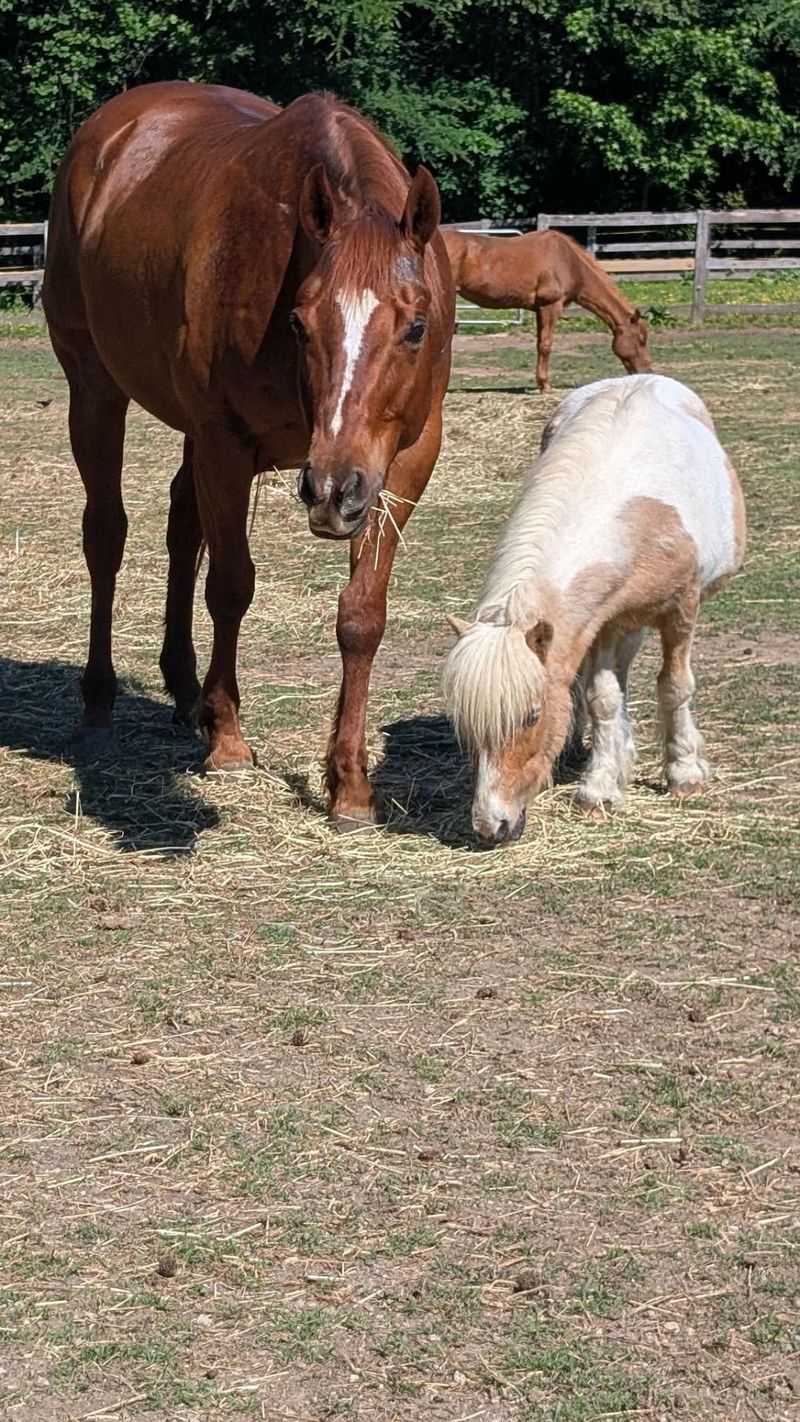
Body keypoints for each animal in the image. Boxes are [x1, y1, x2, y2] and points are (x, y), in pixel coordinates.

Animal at [42, 81, 455, 829]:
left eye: (415, 327)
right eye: (298, 322)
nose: (333, 491)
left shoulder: (406, 461)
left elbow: (362, 614)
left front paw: (349, 785)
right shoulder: (226, 443)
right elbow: (231, 586)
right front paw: (230, 740)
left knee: (182, 527)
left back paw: (186, 692)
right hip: (94, 388)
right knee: (106, 536)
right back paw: (102, 702)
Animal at [441, 227, 652, 392]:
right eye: (641, 340)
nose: (647, 372)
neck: (569, 262)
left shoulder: (539, 310)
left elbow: (539, 344)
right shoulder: (550, 307)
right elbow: (546, 345)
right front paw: (545, 386)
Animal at [443, 374, 746, 845]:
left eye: (531, 716)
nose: (491, 826)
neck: (633, 513)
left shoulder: (681, 609)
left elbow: (674, 686)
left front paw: (683, 774)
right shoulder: (603, 620)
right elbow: (602, 698)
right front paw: (600, 787)